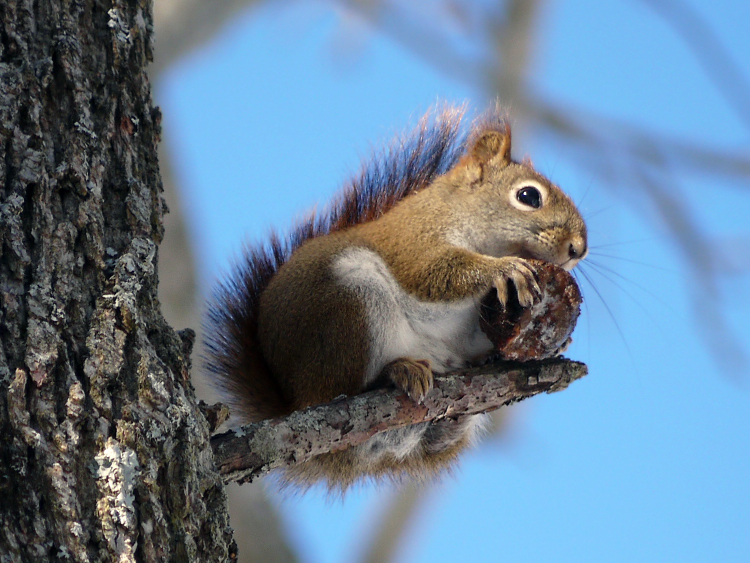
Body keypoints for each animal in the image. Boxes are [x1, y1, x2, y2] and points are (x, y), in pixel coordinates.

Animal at [204, 104, 588, 490]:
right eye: (528, 197)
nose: (578, 249)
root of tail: (295, 400)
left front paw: (558, 342)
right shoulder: (413, 240)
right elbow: (433, 273)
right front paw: (504, 268)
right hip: (349, 306)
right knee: (340, 390)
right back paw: (395, 372)